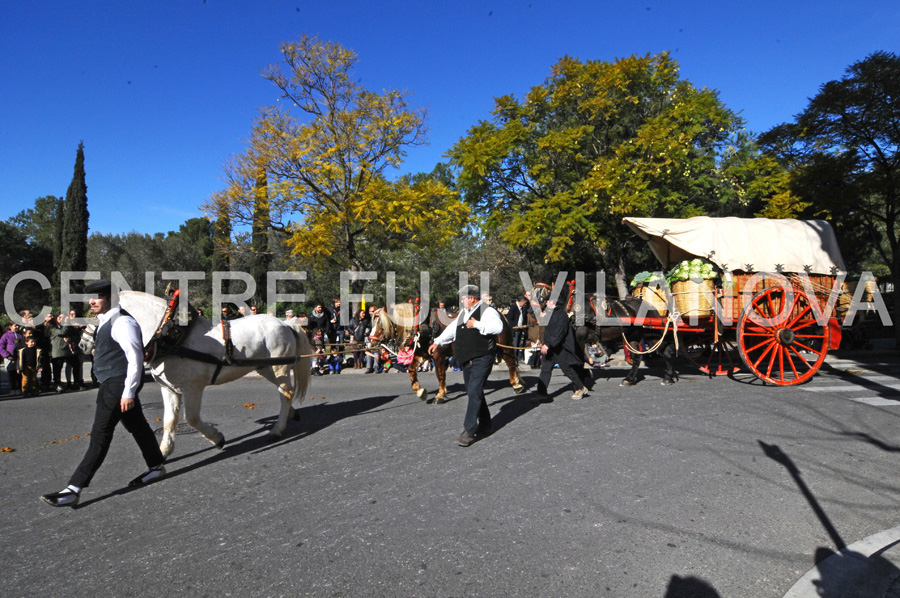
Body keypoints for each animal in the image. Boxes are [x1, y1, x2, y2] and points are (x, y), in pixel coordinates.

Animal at [88, 292, 312, 458]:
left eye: (95, 315)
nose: (85, 345)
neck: (169, 337)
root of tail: (286, 324)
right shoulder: (169, 389)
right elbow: (169, 420)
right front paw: (163, 451)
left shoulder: (193, 388)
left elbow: (192, 419)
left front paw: (218, 438)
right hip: (266, 367)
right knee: (285, 393)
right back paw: (290, 414)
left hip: (279, 367)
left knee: (286, 393)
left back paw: (277, 430)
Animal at [370, 302, 524, 406]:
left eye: (381, 323)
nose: (370, 340)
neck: (424, 326)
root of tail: (500, 314)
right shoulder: (422, 355)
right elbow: (411, 370)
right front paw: (420, 391)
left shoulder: (438, 355)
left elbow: (440, 375)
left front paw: (440, 395)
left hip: (503, 347)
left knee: (511, 363)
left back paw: (516, 385)